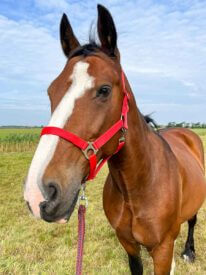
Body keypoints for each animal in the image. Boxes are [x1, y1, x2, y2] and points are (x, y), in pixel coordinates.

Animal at [24, 4, 206, 275]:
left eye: (104, 90)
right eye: (50, 91)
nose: (38, 193)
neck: (140, 186)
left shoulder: (163, 250)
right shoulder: (128, 244)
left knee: (192, 220)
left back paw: (189, 251)